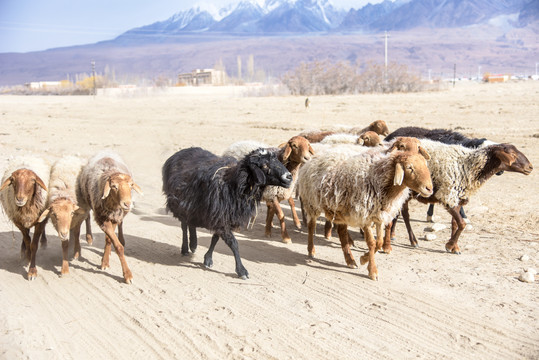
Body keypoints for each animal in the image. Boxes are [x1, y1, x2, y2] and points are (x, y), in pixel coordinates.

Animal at [162, 146, 294, 278]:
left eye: (277, 160)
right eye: (265, 165)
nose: (289, 177)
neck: (235, 184)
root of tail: (180, 152)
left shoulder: (222, 217)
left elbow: (215, 238)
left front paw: (208, 259)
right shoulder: (220, 217)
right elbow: (233, 243)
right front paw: (241, 270)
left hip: (192, 206)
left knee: (191, 222)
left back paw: (193, 245)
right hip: (178, 204)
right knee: (184, 225)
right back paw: (186, 248)